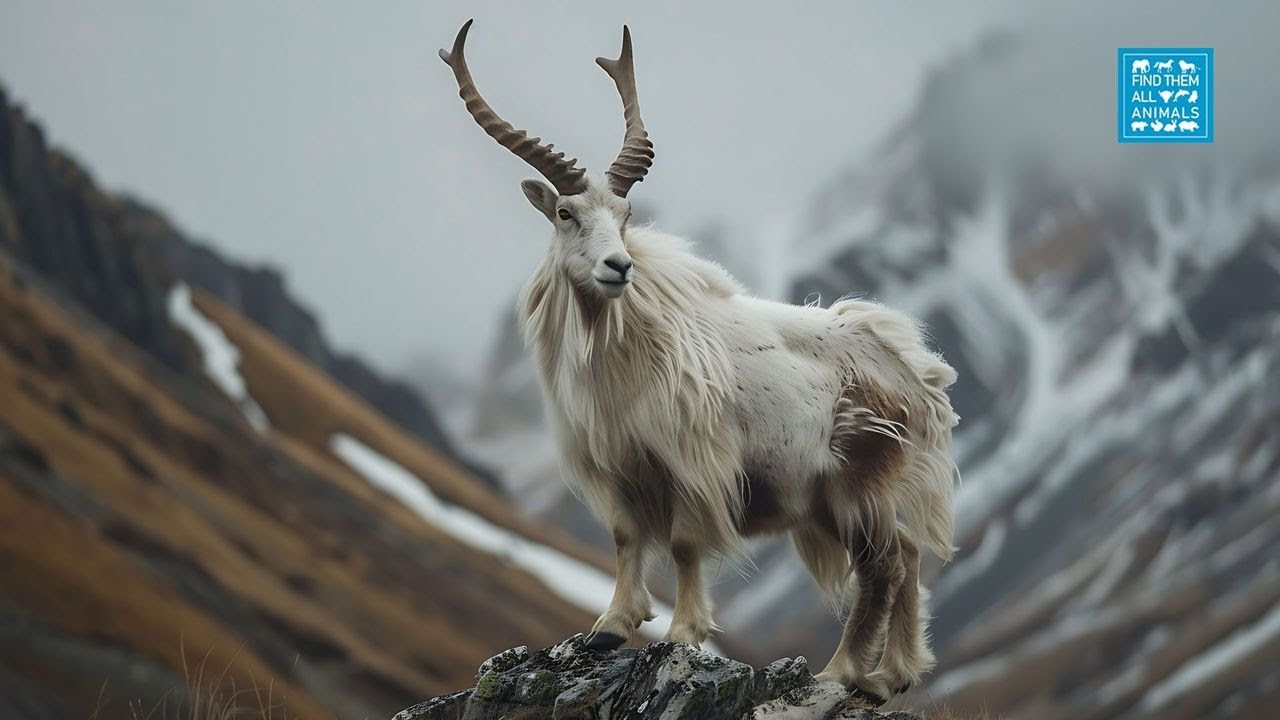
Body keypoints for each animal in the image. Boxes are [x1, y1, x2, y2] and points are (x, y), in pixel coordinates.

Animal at [439, 21, 960, 703]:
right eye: (565, 213)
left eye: (627, 216)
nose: (619, 267)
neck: (624, 348)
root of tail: (912, 374)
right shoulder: (618, 467)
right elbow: (625, 537)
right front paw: (610, 627)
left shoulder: (691, 461)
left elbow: (686, 545)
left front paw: (685, 633)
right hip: (832, 496)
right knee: (908, 554)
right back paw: (891, 676)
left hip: (857, 484)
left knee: (883, 566)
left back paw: (841, 672)